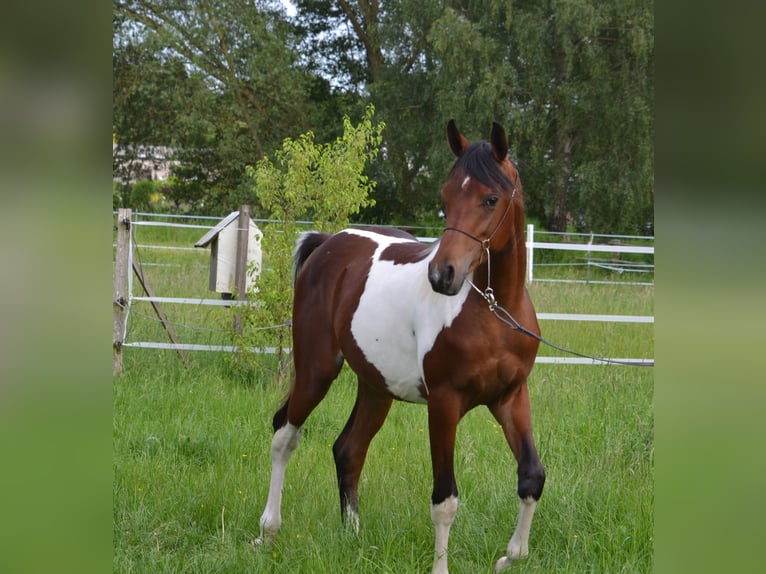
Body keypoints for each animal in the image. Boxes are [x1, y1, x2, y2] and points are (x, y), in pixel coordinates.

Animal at [256, 121, 545, 574]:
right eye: (446, 196)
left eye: (490, 198)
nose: (443, 275)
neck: (495, 313)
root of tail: (327, 244)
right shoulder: (444, 404)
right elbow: (445, 500)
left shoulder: (510, 397)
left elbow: (531, 476)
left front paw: (510, 557)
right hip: (316, 371)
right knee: (284, 433)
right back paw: (268, 530)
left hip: (376, 387)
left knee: (348, 449)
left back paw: (353, 537)